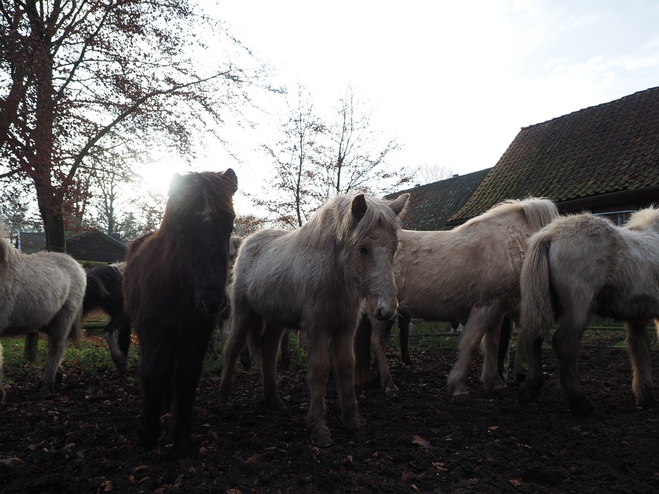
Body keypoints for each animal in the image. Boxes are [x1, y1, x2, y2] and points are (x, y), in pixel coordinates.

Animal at [122, 171, 238, 460]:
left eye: (229, 226)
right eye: (183, 228)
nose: (213, 301)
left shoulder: (195, 338)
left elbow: (186, 379)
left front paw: (182, 442)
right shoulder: (155, 335)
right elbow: (153, 374)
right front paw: (148, 432)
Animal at [219, 193, 410, 448]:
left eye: (394, 248)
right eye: (363, 249)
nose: (387, 310)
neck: (333, 272)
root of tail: (247, 243)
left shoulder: (345, 327)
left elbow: (346, 366)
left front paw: (353, 421)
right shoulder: (318, 328)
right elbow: (319, 370)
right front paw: (319, 427)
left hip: (275, 321)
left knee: (269, 351)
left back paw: (274, 399)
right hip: (244, 314)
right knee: (232, 349)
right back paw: (224, 401)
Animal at [354, 196, 560, 398]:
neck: (509, 242)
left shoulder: (498, 308)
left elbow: (492, 344)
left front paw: (495, 383)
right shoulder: (485, 306)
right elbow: (472, 343)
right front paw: (459, 386)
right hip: (382, 310)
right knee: (378, 342)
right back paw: (389, 384)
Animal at [520, 206, 659, 414]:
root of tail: (549, 235)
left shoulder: (637, 318)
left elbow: (639, 349)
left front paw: (645, 397)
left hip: (543, 303)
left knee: (534, 337)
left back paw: (530, 389)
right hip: (579, 307)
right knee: (564, 343)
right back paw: (580, 402)